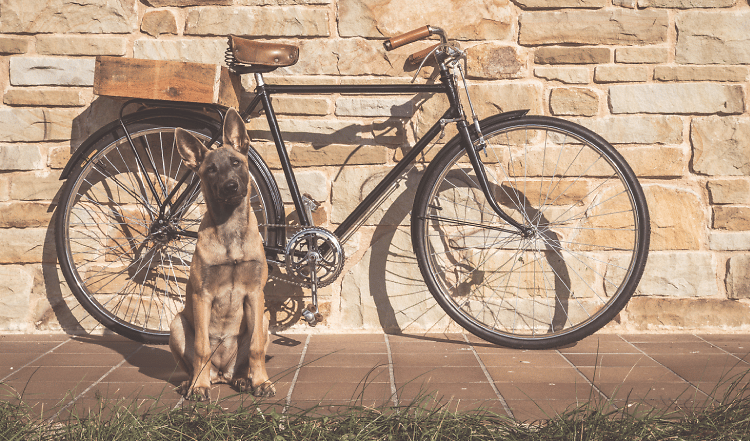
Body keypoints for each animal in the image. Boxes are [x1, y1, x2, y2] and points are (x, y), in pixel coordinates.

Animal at [170, 108, 276, 400]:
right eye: (211, 170)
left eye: (236, 163)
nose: (230, 187)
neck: (230, 232)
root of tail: (221, 374)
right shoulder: (202, 296)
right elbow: (202, 348)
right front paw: (199, 387)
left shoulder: (255, 295)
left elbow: (255, 348)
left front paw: (261, 382)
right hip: (176, 324)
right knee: (196, 363)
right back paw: (193, 382)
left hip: (264, 320)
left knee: (242, 364)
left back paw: (243, 380)